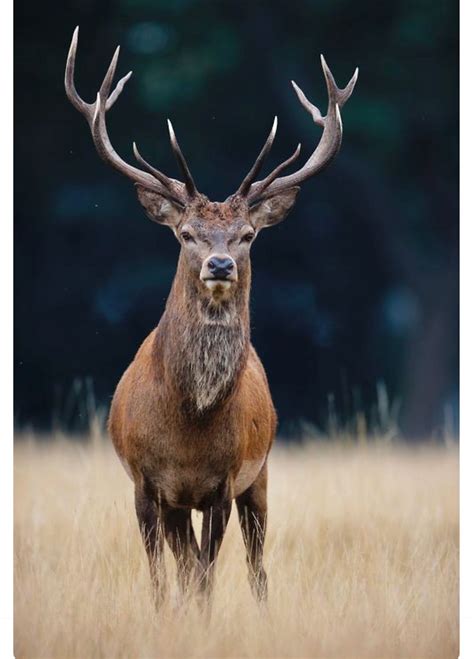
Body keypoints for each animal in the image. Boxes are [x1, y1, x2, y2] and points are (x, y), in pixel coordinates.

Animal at [65, 26, 357, 605]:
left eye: (247, 235)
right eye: (185, 234)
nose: (220, 264)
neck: (189, 426)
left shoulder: (223, 483)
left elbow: (206, 577)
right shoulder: (146, 485)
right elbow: (163, 579)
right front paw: (165, 615)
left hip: (260, 476)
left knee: (256, 565)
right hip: (183, 504)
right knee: (185, 563)